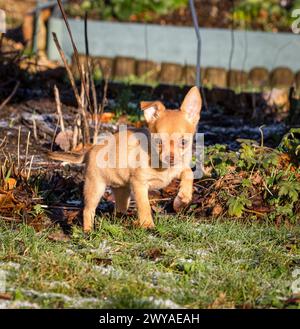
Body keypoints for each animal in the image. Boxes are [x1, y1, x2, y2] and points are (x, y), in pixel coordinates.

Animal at [49, 86, 203, 231]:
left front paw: (183, 197)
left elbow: (189, 172)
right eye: (158, 141)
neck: (164, 168)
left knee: (118, 208)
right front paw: (148, 225)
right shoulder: (139, 184)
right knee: (88, 210)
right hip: (95, 186)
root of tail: (88, 151)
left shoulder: (178, 168)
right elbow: (144, 206)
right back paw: (88, 231)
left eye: (183, 142)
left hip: (122, 190)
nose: (170, 158)